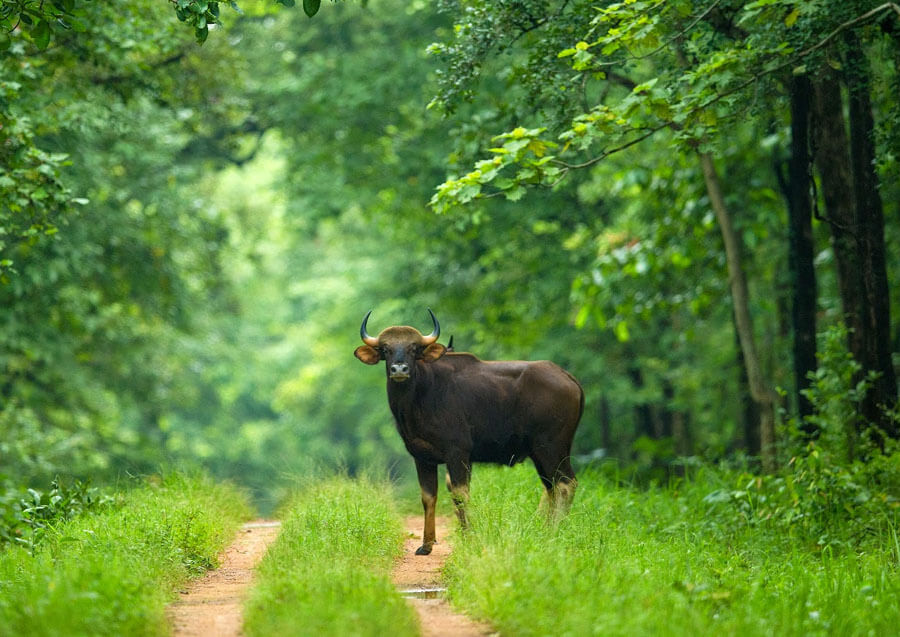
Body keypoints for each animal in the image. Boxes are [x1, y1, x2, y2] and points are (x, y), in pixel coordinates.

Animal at [354, 309, 583, 555]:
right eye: (385, 349)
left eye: (414, 349)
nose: (399, 369)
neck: (420, 397)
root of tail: (568, 377)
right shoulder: (422, 457)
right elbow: (428, 497)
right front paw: (426, 544)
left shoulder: (458, 453)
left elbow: (460, 494)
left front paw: (468, 538)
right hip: (539, 452)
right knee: (551, 488)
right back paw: (546, 531)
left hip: (552, 446)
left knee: (565, 484)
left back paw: (554, 532)